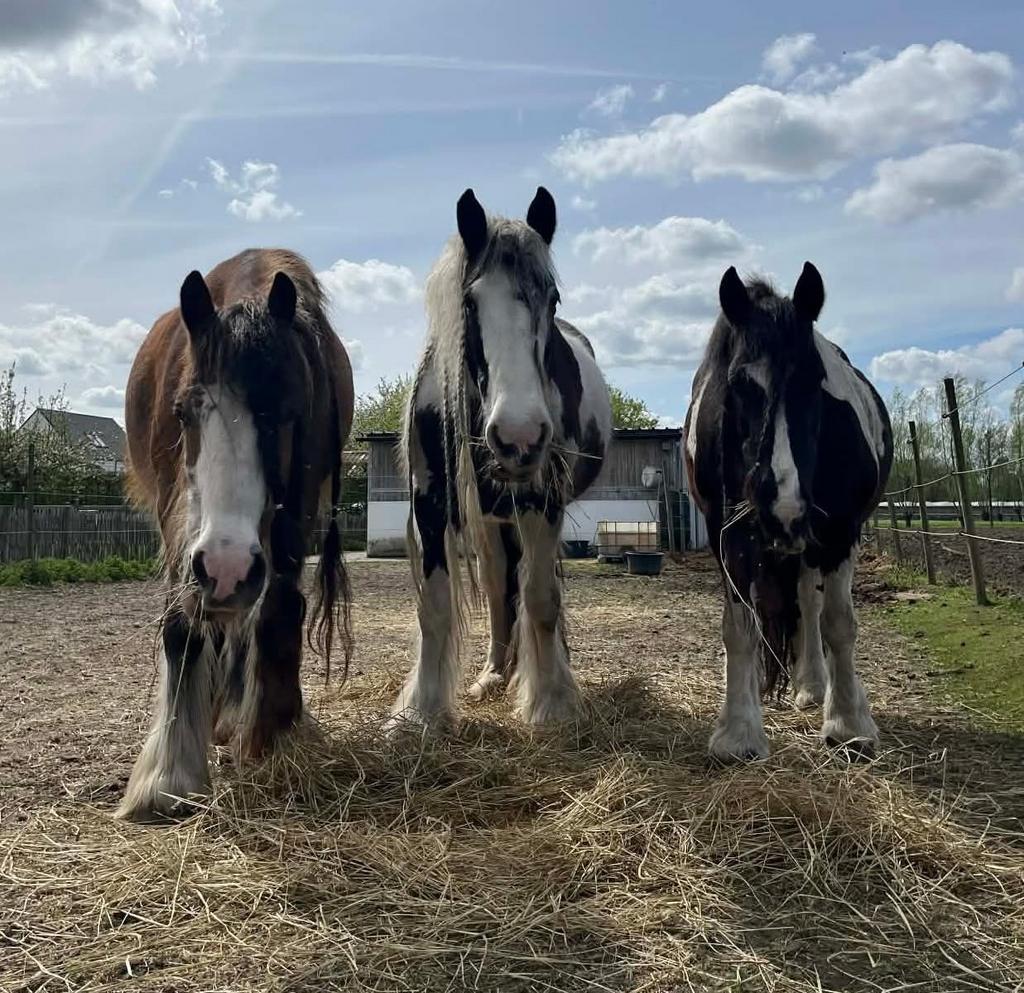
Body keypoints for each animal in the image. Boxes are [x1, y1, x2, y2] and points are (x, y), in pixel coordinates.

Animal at [118, 248, 354, 821]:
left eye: (286, 413)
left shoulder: (295, 514)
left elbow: (278, 613)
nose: (226, 571)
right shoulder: (179, 520)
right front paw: (169, 775)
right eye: (183, 411)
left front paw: (272, 738)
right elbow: (181, 625)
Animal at [390, 186, 612, 730]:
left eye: (551, 298)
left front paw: (550, 701)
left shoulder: (542, 500)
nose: (519, 435)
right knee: (496, 584)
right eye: (469, 301)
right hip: (492, 521)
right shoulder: (430, 503)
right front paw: (421, 711)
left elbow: (541, 599)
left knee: (534, 586)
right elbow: (436, 604)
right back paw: (494, 671)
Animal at [685, 262, 892, 762]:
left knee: (812, 605)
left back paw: (816, 688)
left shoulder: (840, 531)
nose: (783, 505)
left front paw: (848, 725)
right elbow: (739, 627)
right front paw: (738, 732)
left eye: (814, 380)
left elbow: (839, 623)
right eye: (738, 384)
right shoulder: (728, 534)